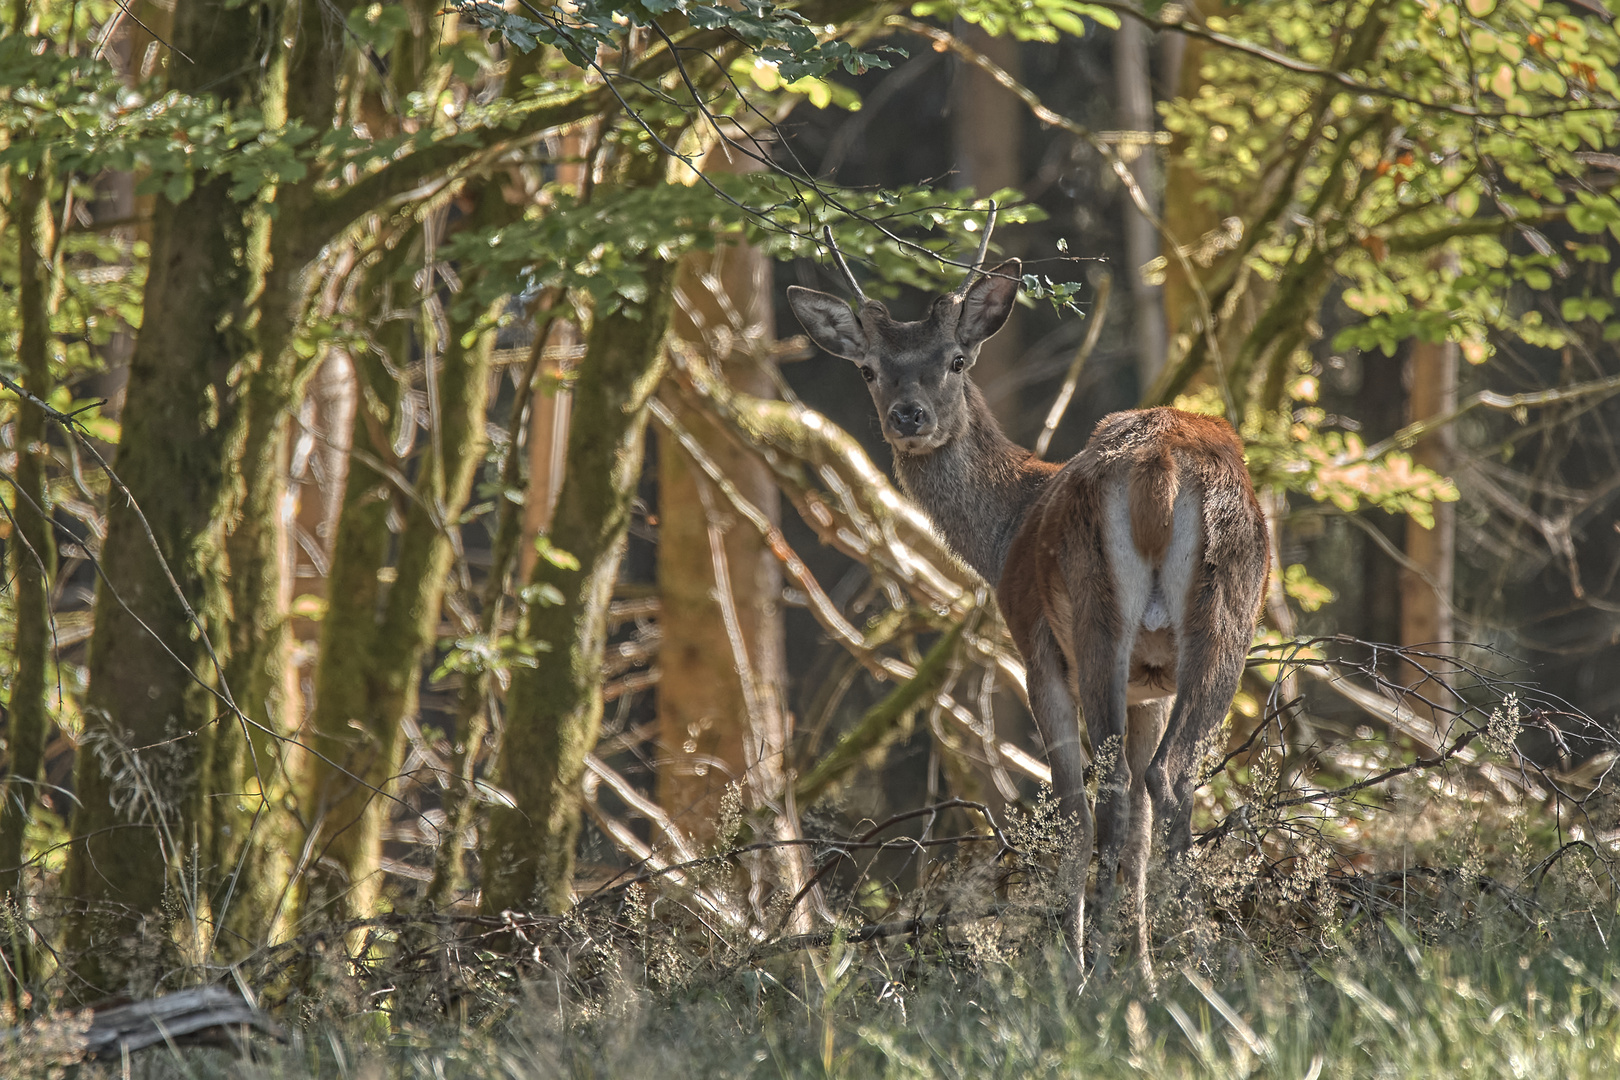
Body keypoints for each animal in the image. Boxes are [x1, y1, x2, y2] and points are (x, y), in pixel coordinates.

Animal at [790, 213, 1270, 971]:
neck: (1008, 529)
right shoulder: (1150, 687)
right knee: (1168, 778)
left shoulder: (1034, 647)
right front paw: (1140, 966)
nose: (908, 415)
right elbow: (1135, 823)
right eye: (868, 368)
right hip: (1226, 621)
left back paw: (1113, 965)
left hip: (1098, 616)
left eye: (957, 359)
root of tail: (1163, 469)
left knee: (1112, 790)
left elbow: (1073, 813)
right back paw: (1195, 960)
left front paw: (1078, 965)